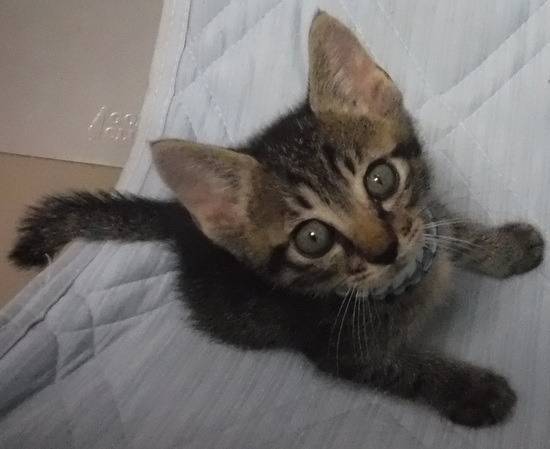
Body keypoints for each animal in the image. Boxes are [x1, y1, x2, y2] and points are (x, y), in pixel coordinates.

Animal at [9, 12, 544, 428]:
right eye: (313, 238)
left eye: (381, 180)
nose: (385, 249)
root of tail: (183, 218)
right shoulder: (340, 353)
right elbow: (404, 371)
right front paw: (472, 390)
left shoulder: (423, 220)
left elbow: (447, 226)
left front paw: (505, 247)